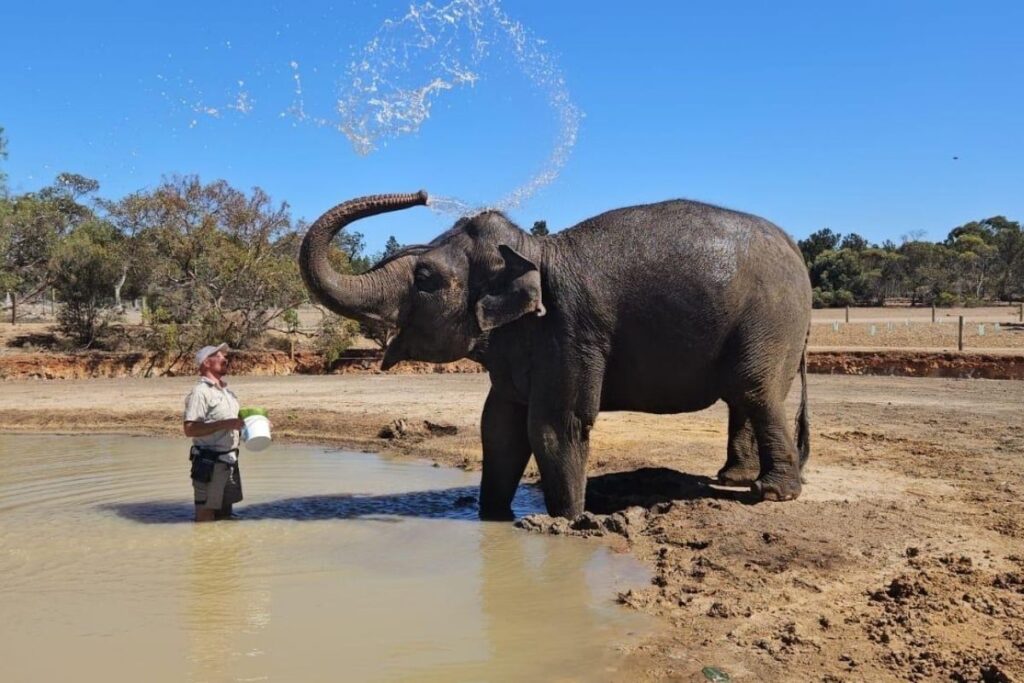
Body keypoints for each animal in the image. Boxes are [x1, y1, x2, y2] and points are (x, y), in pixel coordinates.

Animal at [299, 191, 812, 520]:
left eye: (424, 277)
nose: (424, 194)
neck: (534, 251)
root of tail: (793, 245)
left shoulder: (569, 330)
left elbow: (554, 426)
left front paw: (568, 522)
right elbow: (499, 427)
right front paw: (492, 518)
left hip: (771, 320)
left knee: (754, 390)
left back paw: (771, 494)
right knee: (742, 396)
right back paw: (734, 476)